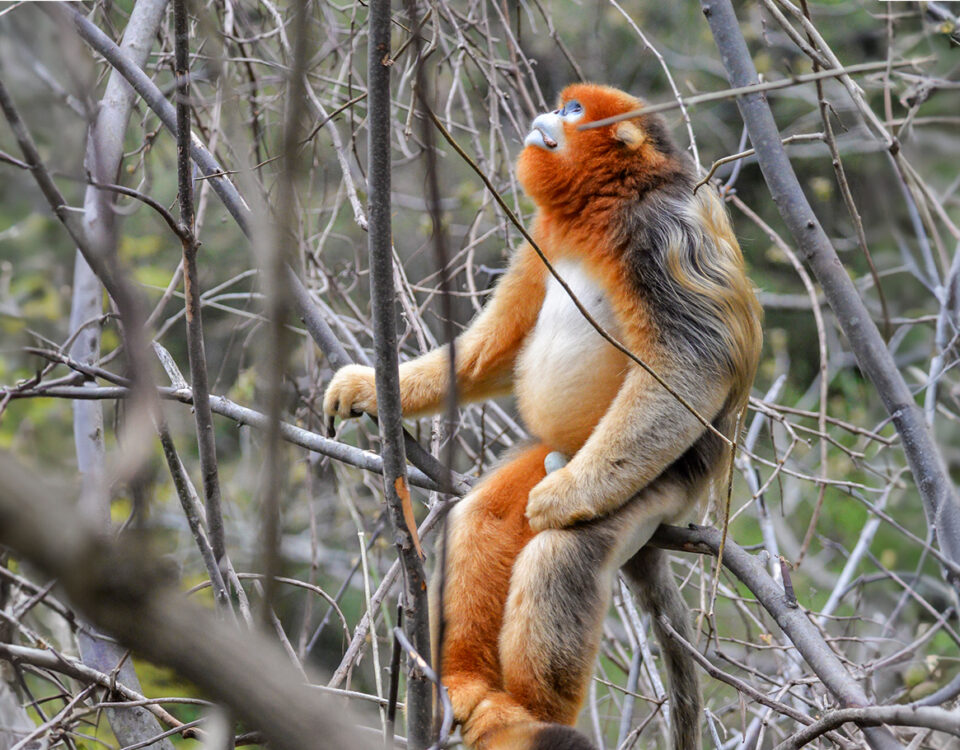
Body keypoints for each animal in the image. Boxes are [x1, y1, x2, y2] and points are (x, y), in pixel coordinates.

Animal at [323, 83, 762, 750]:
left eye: (575, 111)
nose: (552, 114)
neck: (606, 205)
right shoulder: (543, 237)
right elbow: (499, 347)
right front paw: (373, 387)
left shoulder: (664, 231)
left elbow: (694, 362)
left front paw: (565, 499)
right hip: (556, 453)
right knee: (484, 517)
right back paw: (469, 684)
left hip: (659, 483)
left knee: (560, 556)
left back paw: (529, 716)